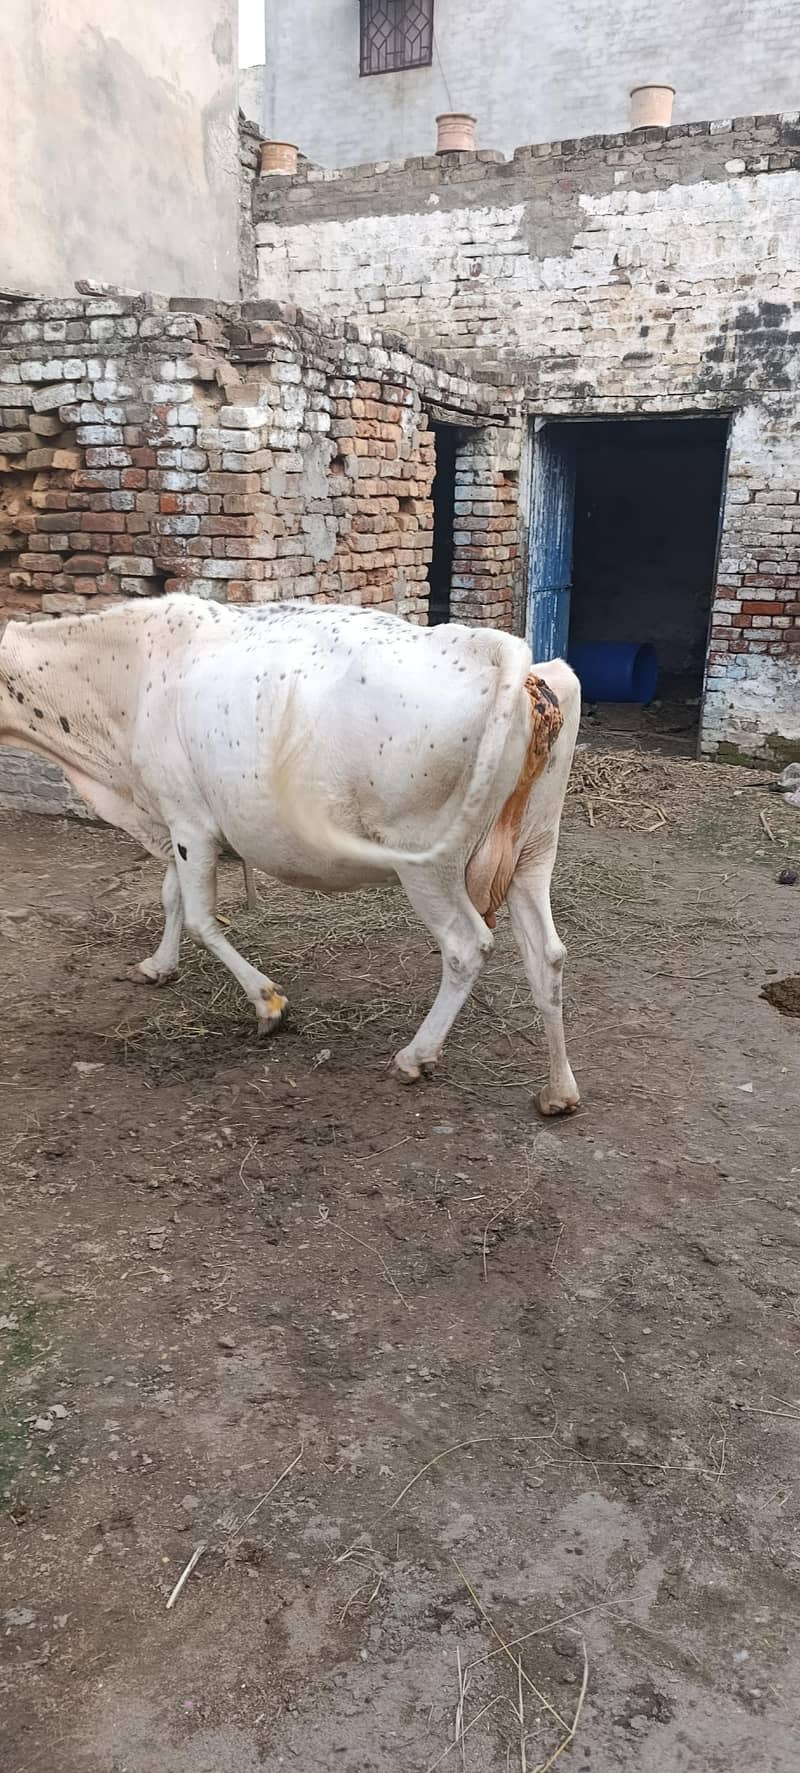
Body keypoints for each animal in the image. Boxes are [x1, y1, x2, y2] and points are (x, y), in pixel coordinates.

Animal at [0, 597, 580, 1114]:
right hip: (533, 851)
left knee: (465, 946)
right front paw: (158, 966)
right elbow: (170, 898)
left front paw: (268, 1004)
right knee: (547, 954)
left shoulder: (188, 820)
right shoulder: (169, 818)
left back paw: (414, 1057)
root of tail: (494, 650)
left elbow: (200, 918)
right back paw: (558, 1091)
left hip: (426, 862)